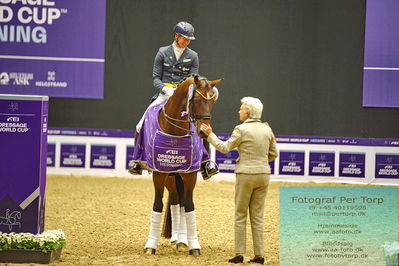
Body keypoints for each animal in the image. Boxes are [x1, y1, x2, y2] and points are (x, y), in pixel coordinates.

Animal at [134, 74, 222, 256]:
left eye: (212, 101)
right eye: (196, 99)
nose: (204, 131)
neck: (175, 131)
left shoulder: (190, 174)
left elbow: (188, 206)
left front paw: (194, 246)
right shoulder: (159, 173)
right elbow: (157, 205)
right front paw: (150, 246)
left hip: (178, 176)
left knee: (180, 204)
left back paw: (181, 240)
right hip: (170, 177)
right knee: (175, 201)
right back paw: (176, 238)